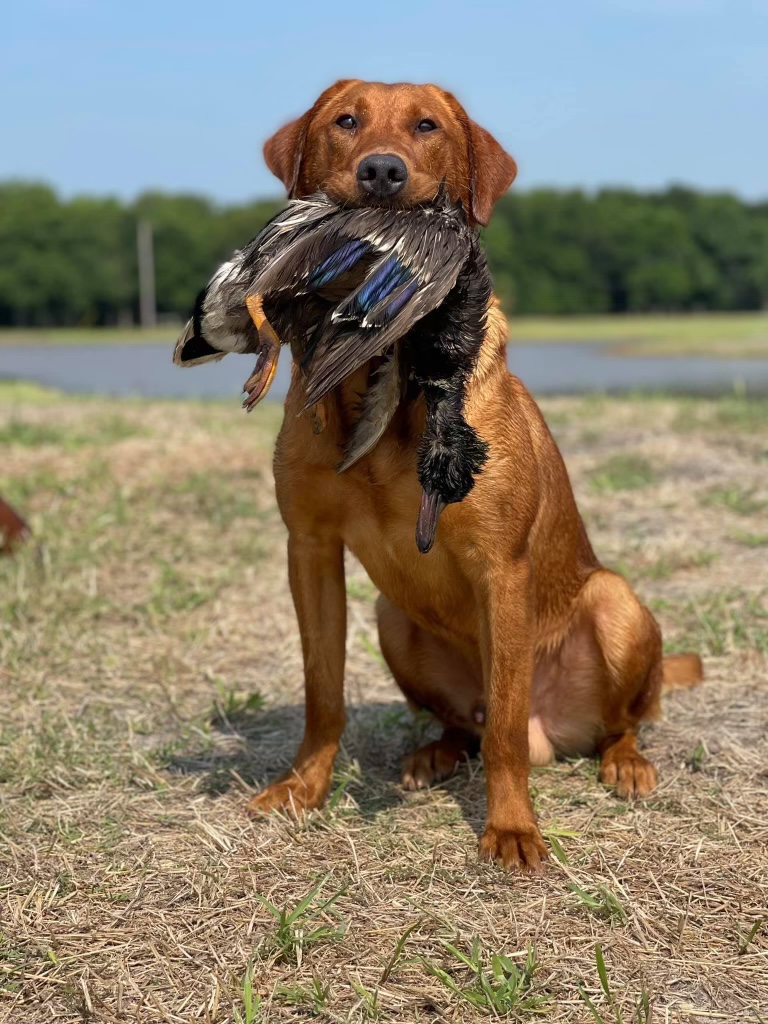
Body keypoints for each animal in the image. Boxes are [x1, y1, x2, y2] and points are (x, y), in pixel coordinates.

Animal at [246, 79, 704, 868]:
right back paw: (434, 753)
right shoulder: (309, 548)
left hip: (615, 602)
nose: (381, 172)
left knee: (604, 721)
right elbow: (322, 694)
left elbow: (506, 735)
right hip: (392, 618)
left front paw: (513, 826)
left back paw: (625, 762)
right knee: (466, 723)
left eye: (427, 126)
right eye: (345, 121)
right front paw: (303, 787)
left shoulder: (501, 565)